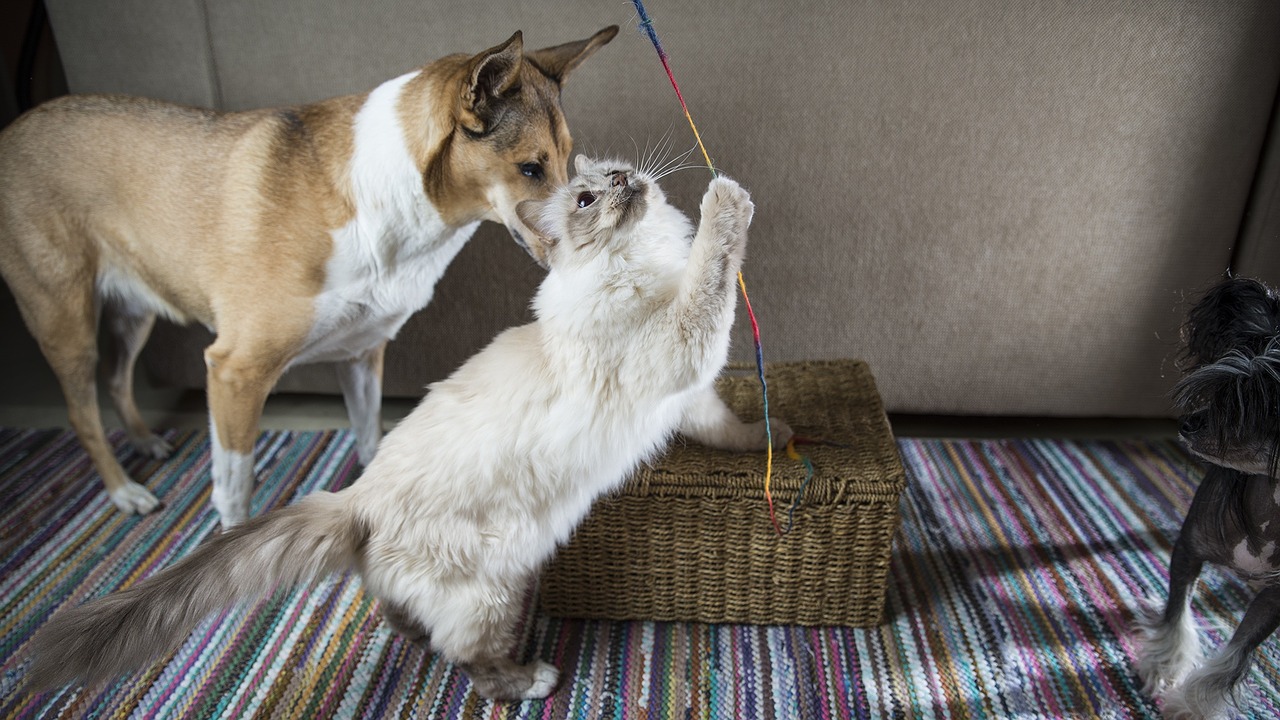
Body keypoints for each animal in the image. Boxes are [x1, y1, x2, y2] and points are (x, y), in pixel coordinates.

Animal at [0, 28, 619, 525]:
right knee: (82, 411)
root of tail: (14, 128)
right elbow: (234, 491)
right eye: (530, 168)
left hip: (135, 309)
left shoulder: (361, 355)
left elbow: (370, 439)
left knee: (117, 379)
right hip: (66, 321)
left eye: (571, 162)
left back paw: (145, 440)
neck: (382, 200)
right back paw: (124, 490)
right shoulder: (235, 372)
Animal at [24, 155, 788, 696]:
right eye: (586, 200)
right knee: (472, 663)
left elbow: (735, 428)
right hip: (497, 587)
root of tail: (355, 499)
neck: (638, 263)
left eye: (616, 174)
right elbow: (712, 272)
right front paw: (727, 199)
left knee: (392, 609)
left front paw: (781, 439)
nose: (629, 181)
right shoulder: (681, 347)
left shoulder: (691, 399)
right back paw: (532, 679)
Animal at [1136, 271, 1280, 712]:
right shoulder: (1188, 548)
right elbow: (1176, 616)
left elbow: (1235, 655)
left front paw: (1190, 707)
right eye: (1222, 389)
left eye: (1255, 403)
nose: (1187, 424)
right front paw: (1164, 669)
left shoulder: (1274, 599)